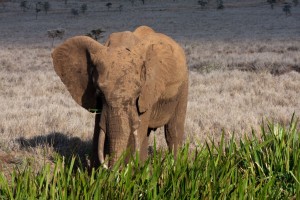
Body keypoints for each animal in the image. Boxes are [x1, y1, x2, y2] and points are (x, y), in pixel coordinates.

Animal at [51, 25, 188, 168]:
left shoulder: (147, 92)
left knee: (173, 132)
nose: (110, 167)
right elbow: (98, 132)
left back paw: (174, 167)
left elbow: (136, 133)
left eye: (137, 93)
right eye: (99, 93)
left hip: (183, 87)